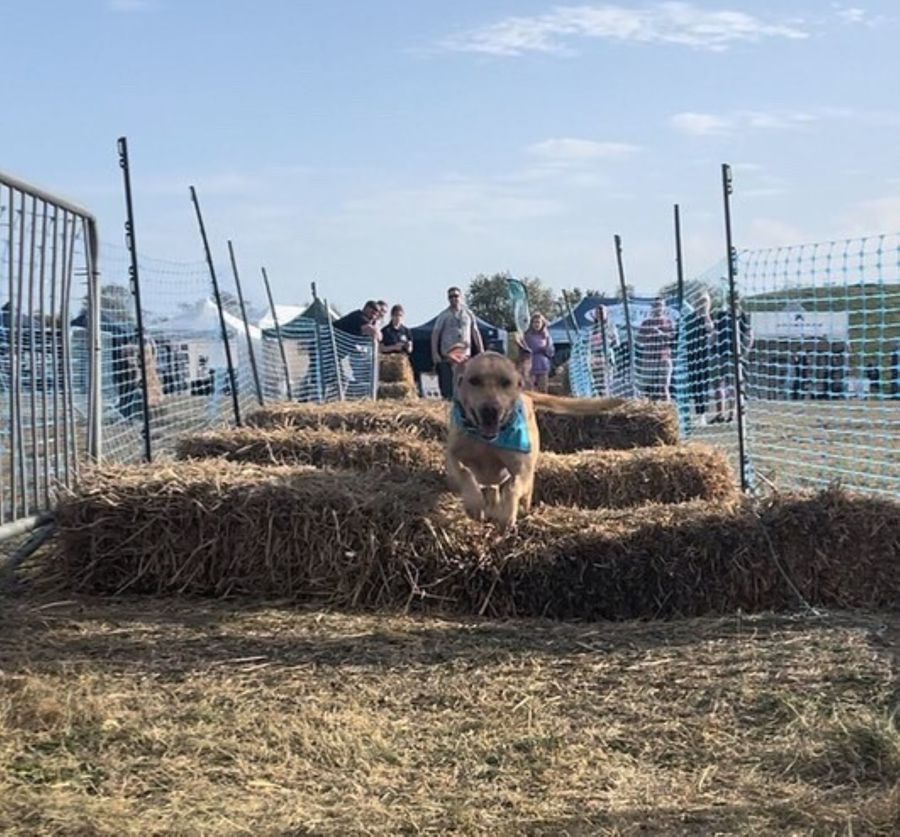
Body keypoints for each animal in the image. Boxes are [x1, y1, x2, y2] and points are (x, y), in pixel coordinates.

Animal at [444, 350, 624, 524]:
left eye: (505, 382)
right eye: (474, 380)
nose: (490, 410)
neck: (488, 442)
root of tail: (526, 393)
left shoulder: (522, 468)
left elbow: (512, 486)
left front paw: (506, 513)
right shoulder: (452, 456)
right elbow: (464, 472)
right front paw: (475, 504)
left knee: (519, 494)